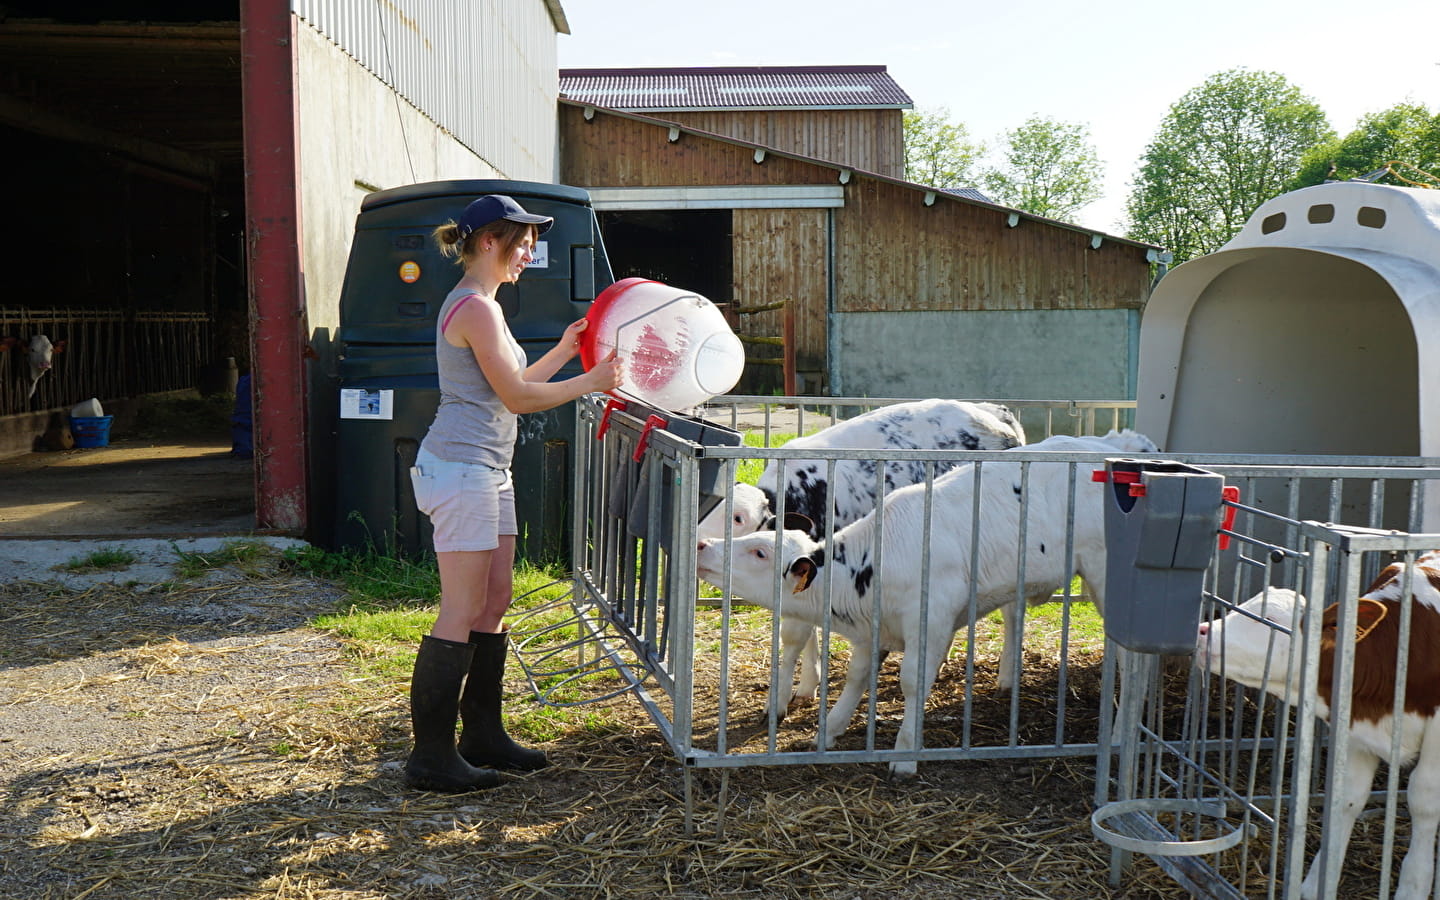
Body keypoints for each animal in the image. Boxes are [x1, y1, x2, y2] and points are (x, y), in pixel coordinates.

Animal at [1198, 555, 1440, 898]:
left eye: (1269, 619)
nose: (1203, 629)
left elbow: (1424, 799)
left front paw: (1413, 887)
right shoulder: (1355, 721)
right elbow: (1347, 796)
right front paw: (1315, 884)